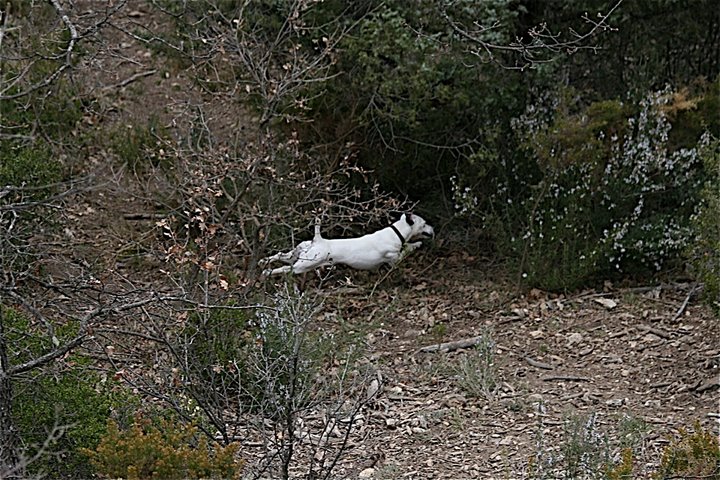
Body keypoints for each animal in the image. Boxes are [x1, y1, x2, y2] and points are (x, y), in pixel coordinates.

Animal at [262, 213, 436, 276]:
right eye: (424, 224)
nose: (433, 229)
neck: (396, 232)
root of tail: (318, 239)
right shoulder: (395, 258)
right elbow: (407, 249)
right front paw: (417, 243)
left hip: (298, 254)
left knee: (281, 256)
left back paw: (264, 262)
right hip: (304, 265)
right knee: (286, 268)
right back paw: (268, 272)